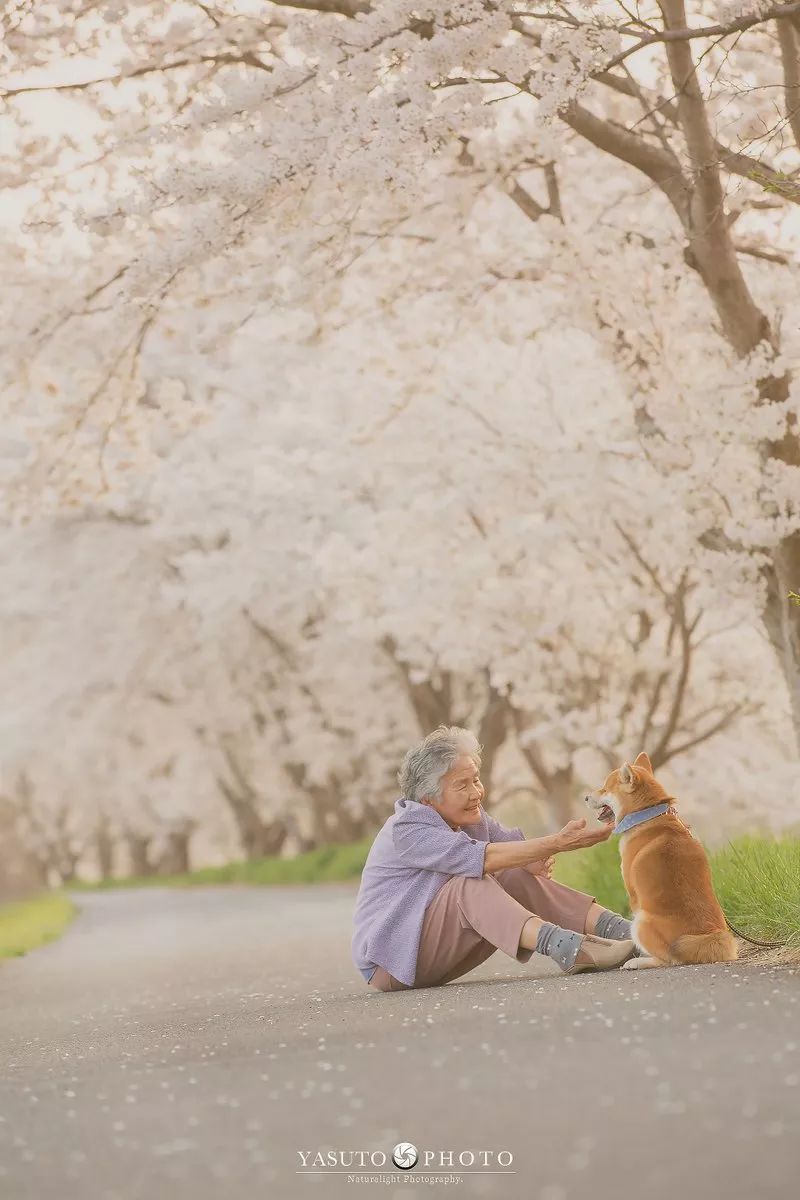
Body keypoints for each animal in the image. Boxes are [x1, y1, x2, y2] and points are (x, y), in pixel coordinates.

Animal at [585, 753, 734, 969]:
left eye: (605, 788)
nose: (586, 797)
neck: (646, 816)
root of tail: (707, 936)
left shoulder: (634, 895)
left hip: (640, 922)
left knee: (666, 960)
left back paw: (638, 962)